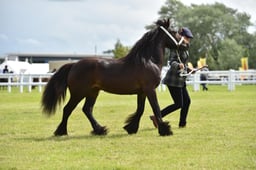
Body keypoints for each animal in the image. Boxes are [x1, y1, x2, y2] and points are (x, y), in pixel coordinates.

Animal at [41, 18, 184, 136]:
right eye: (174, 31)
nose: (185, 45)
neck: (148, 61)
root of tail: (74, 65)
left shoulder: (142, 92)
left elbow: (140, 110)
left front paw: (131, 128)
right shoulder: (150, 90)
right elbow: (156, 109)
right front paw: (165, 130)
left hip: (93, 92)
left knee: (87, 109)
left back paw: (100, 130)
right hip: (79, 93)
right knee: (68, 109)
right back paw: (62, 132)